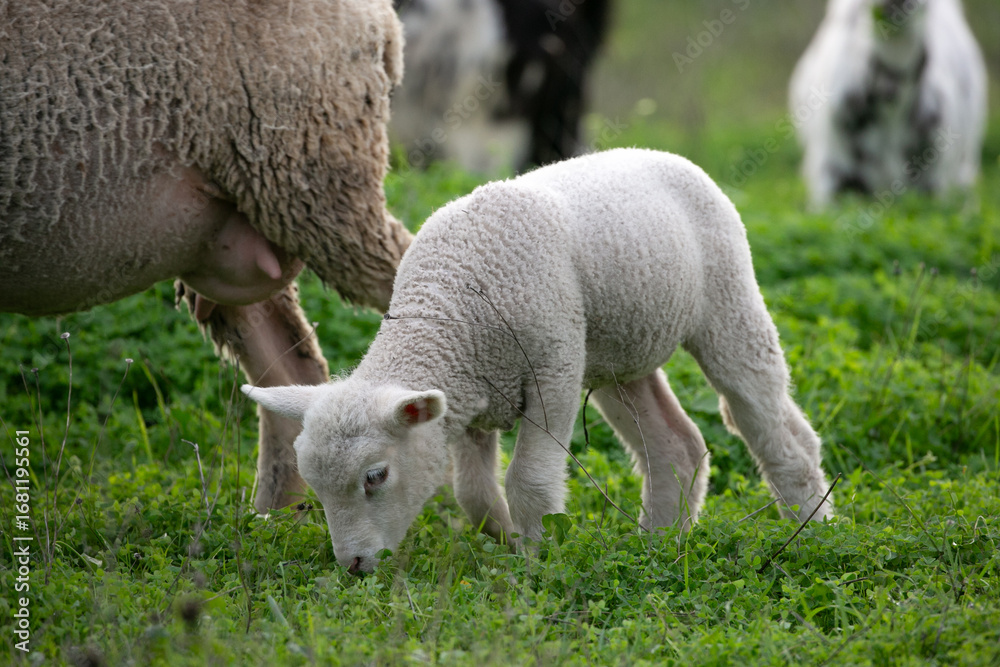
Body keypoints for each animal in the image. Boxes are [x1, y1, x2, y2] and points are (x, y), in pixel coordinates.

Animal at [243, 148, 835, 574]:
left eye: (375, 476)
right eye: (312, 484)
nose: (354, 565)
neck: (446, 300)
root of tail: (662, 153)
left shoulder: (552, 366)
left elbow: (527, 479)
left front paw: (534, 562)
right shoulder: (472, 393)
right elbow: (474, 495)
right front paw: (506, 542)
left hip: (726, 302)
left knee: (773, 427)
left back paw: (813, 532)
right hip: (618, 353)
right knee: (675, 446)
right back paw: (657, 549)